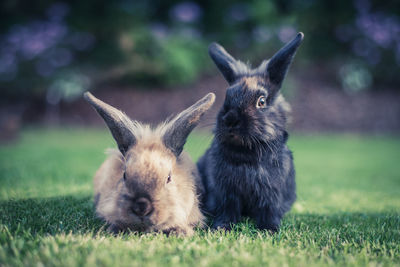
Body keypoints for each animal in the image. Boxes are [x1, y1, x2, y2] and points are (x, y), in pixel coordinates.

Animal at [197, 31, 304, 232]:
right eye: (227, 97)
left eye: (261, 101)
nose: (230, 120)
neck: (246, 154)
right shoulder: (226, 194)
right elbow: (228, 211)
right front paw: (220, 228)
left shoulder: (271, 194)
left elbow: (269, 211)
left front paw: (269, 230)